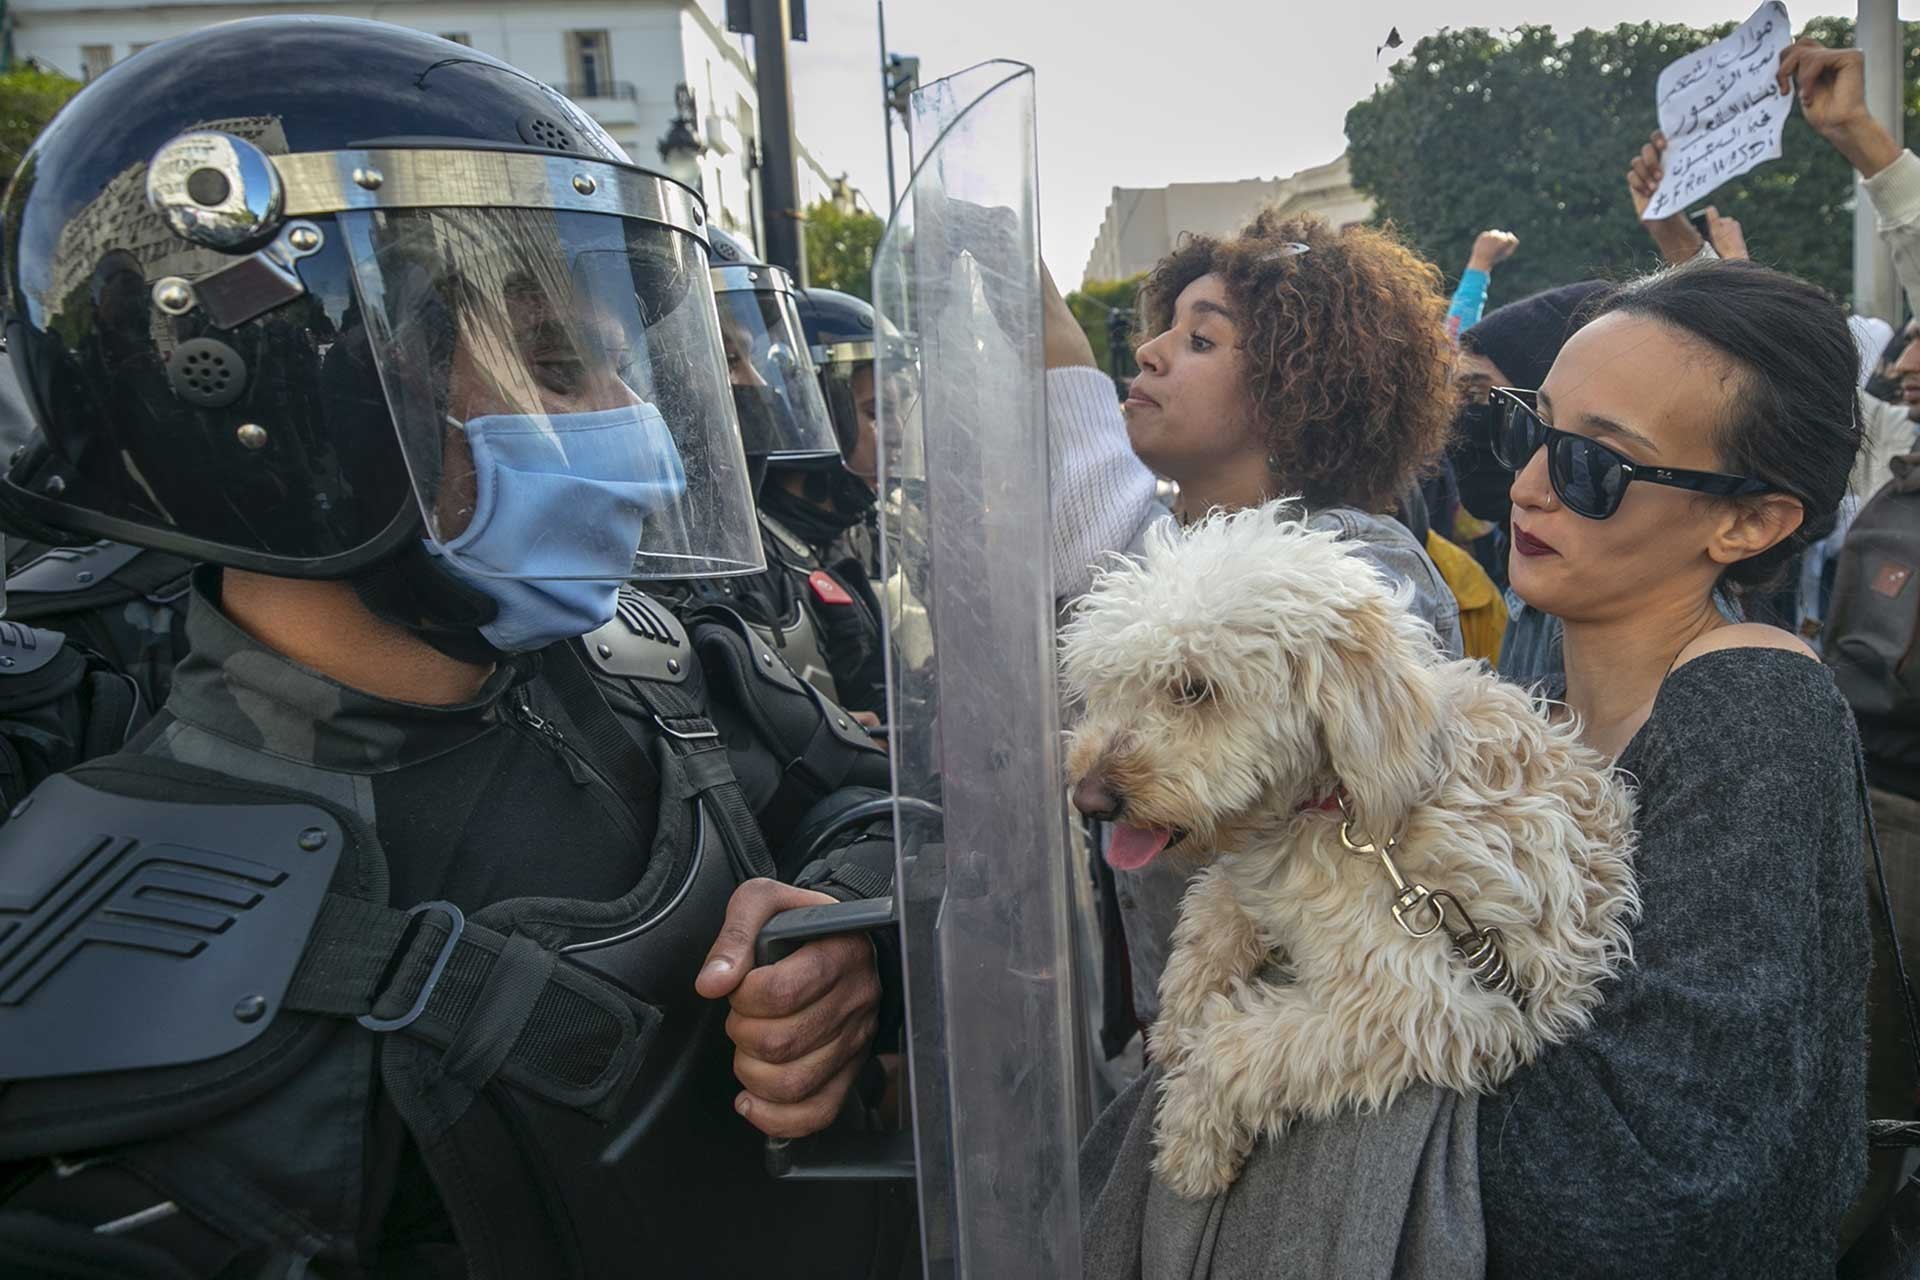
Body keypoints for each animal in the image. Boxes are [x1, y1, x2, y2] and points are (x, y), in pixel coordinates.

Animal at [1067, 502, 1635, 1205]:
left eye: (1194, 689)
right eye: (1109, 684)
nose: (1089, 799)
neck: (1344, 809)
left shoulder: (1424, 1006)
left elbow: (1236, 1049)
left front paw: (1190, 1137)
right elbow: (1212, 910)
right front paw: (1179, 1016)